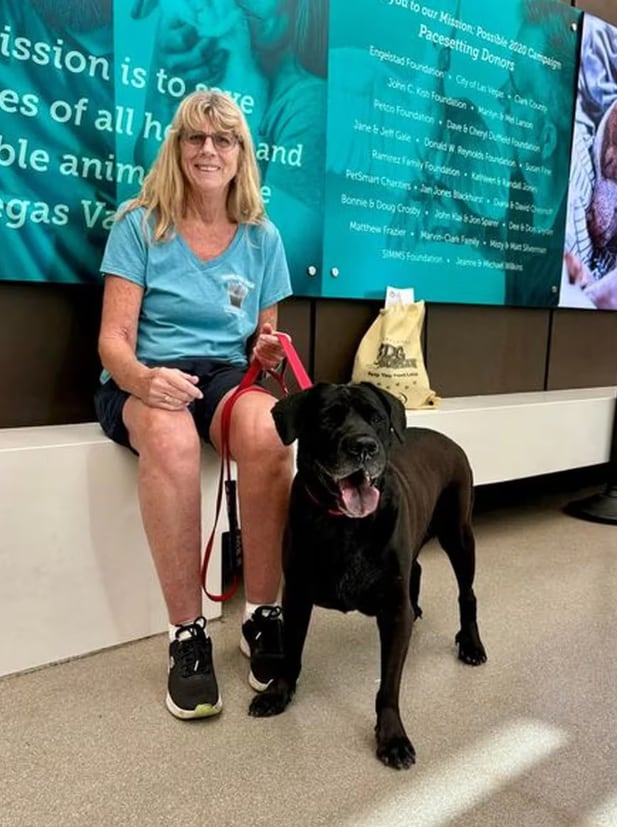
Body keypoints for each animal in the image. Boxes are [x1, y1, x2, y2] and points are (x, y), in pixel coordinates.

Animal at [249, 382, 486, 768]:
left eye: (375, 417)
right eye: (328, 418)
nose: (363, 446)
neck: (345, 524)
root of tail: (448, 440)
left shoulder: (393, 611)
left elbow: (388, 684)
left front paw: (392, 736)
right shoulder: (296, 594)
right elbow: (291, 651)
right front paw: (279, 692)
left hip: (459, 535)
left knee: (467, 593)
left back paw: (471, 644)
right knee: (417, 568)